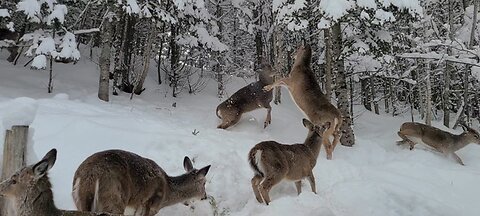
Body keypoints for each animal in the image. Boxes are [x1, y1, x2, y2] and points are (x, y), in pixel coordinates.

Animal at [72, 149, 211, 216]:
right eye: (204, 183)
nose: (205, 197)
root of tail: (91, 177)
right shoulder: (151, 205)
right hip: (113, 198)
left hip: (79, 202)